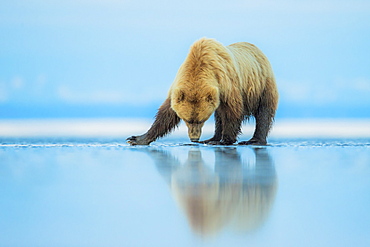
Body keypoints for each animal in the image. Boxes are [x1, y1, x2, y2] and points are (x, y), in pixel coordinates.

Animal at [127, 37, 278, 146]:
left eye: (201, 120)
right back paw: (212, 138)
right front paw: (136, 139)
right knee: (219, 116)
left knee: (264, 112)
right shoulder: (178, 86)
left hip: (262, 85)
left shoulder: (226, 83)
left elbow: (232, 110)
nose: (194, 139)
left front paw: (226, 140)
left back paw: (254, 140)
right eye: (187, 120)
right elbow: (166, 114)